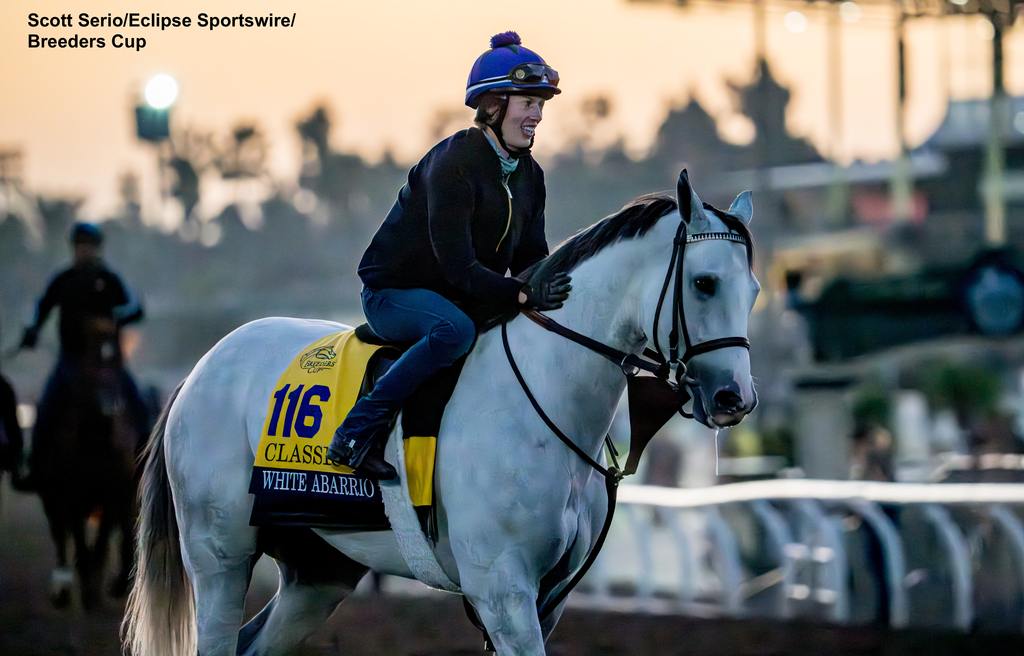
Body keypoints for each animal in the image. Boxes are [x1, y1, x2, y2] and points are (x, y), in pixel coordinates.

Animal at [29, 317, 149, 609]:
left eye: (116, 362)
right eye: (87, 370)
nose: (109, 407)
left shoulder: (109, 494)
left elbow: (98, 541)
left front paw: (93, 587)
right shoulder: (72, 494)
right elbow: (82, 541)